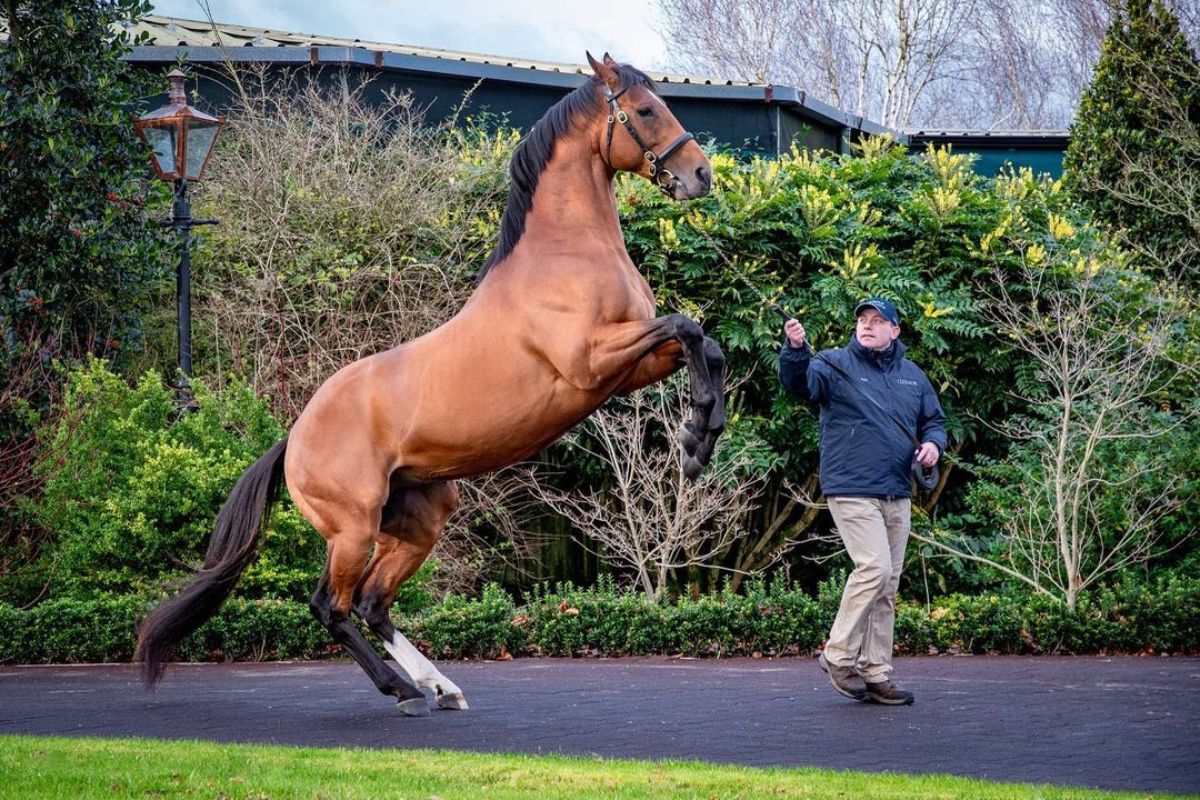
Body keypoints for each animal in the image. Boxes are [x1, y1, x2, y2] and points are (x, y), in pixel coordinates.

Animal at [136, 53, 724, 714]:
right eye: (645, 110)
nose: (700, 174)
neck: (564, 254)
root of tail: (294, 439)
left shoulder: (627, 367)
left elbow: (706, 343)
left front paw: (702, 434)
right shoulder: (592, 364)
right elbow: (688, 327)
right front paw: (697, 437)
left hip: (418, 522)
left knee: (373, 603)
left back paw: (441, 686)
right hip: (352, 529)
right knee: (332, 606)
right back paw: (401, 688)